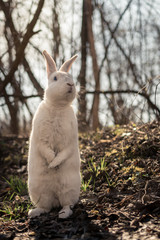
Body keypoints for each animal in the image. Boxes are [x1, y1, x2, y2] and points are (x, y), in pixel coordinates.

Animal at [27, 51, 80, 219]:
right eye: (55, 78)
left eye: (70, 78)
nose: (70, 85)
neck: (58, 107)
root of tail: (56, 198)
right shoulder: (40, 138)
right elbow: (45, 149)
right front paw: (51, 163)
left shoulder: (70, 140)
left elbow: (64, 152)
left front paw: (54, 164)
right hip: (38, 191)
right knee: (46, 207)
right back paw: (33, 212)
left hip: (69, 188)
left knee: (67, 204)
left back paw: (63, 214)